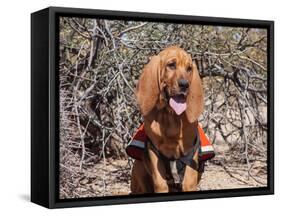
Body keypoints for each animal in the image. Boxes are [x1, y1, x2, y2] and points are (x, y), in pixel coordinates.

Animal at [130, 46, 202, 193]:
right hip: (139, 169)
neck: (171, 116)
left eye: (189, 68)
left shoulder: (191, 152)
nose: (185, 85)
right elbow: (160, 183)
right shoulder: (154, 150)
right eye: (171, 65)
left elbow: (188, 182)